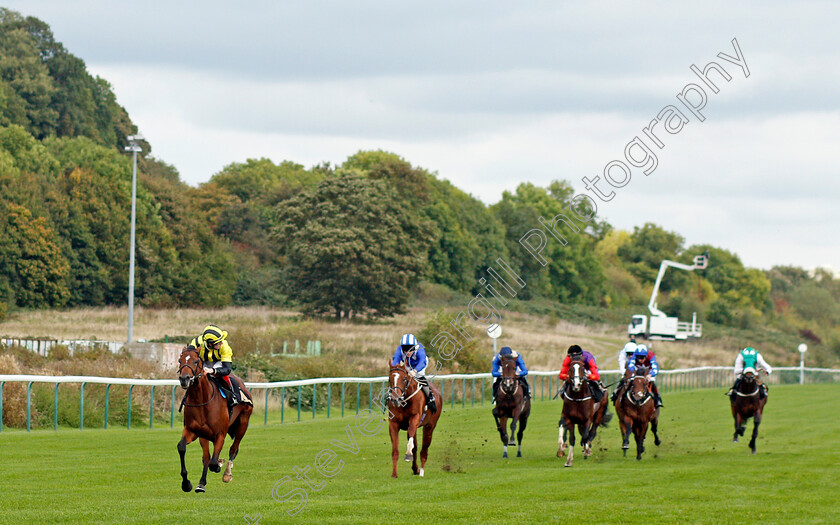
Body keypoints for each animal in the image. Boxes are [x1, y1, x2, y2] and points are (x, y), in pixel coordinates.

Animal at [177, 348, 253, 492]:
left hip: (243, 423)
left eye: (196, 361)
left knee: (233, 449)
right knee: (206, 457)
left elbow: (213, 462)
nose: (184, 379)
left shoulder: (220, 434)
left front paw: (219, 465)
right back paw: (201, 484)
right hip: (204, 436)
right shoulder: (193, 431)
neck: (202, 400)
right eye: (180, 360)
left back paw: (227, 473)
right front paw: (186, 484)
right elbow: (182, 448)